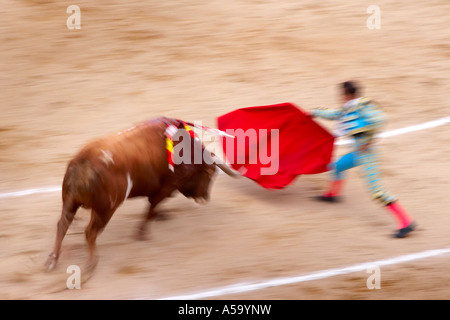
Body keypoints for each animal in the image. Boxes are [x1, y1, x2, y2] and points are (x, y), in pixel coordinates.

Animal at [45, 118, 236, 272]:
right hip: (105, 209)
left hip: (70, 202)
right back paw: (91, 263)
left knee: (62, 224)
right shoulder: (167, 187)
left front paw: (160, 217)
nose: (205, 198)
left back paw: (53, 259)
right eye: (210, 175)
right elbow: (151, 208)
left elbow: (153, 207)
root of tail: (83, 163)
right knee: (89, 232)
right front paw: (142, 233)